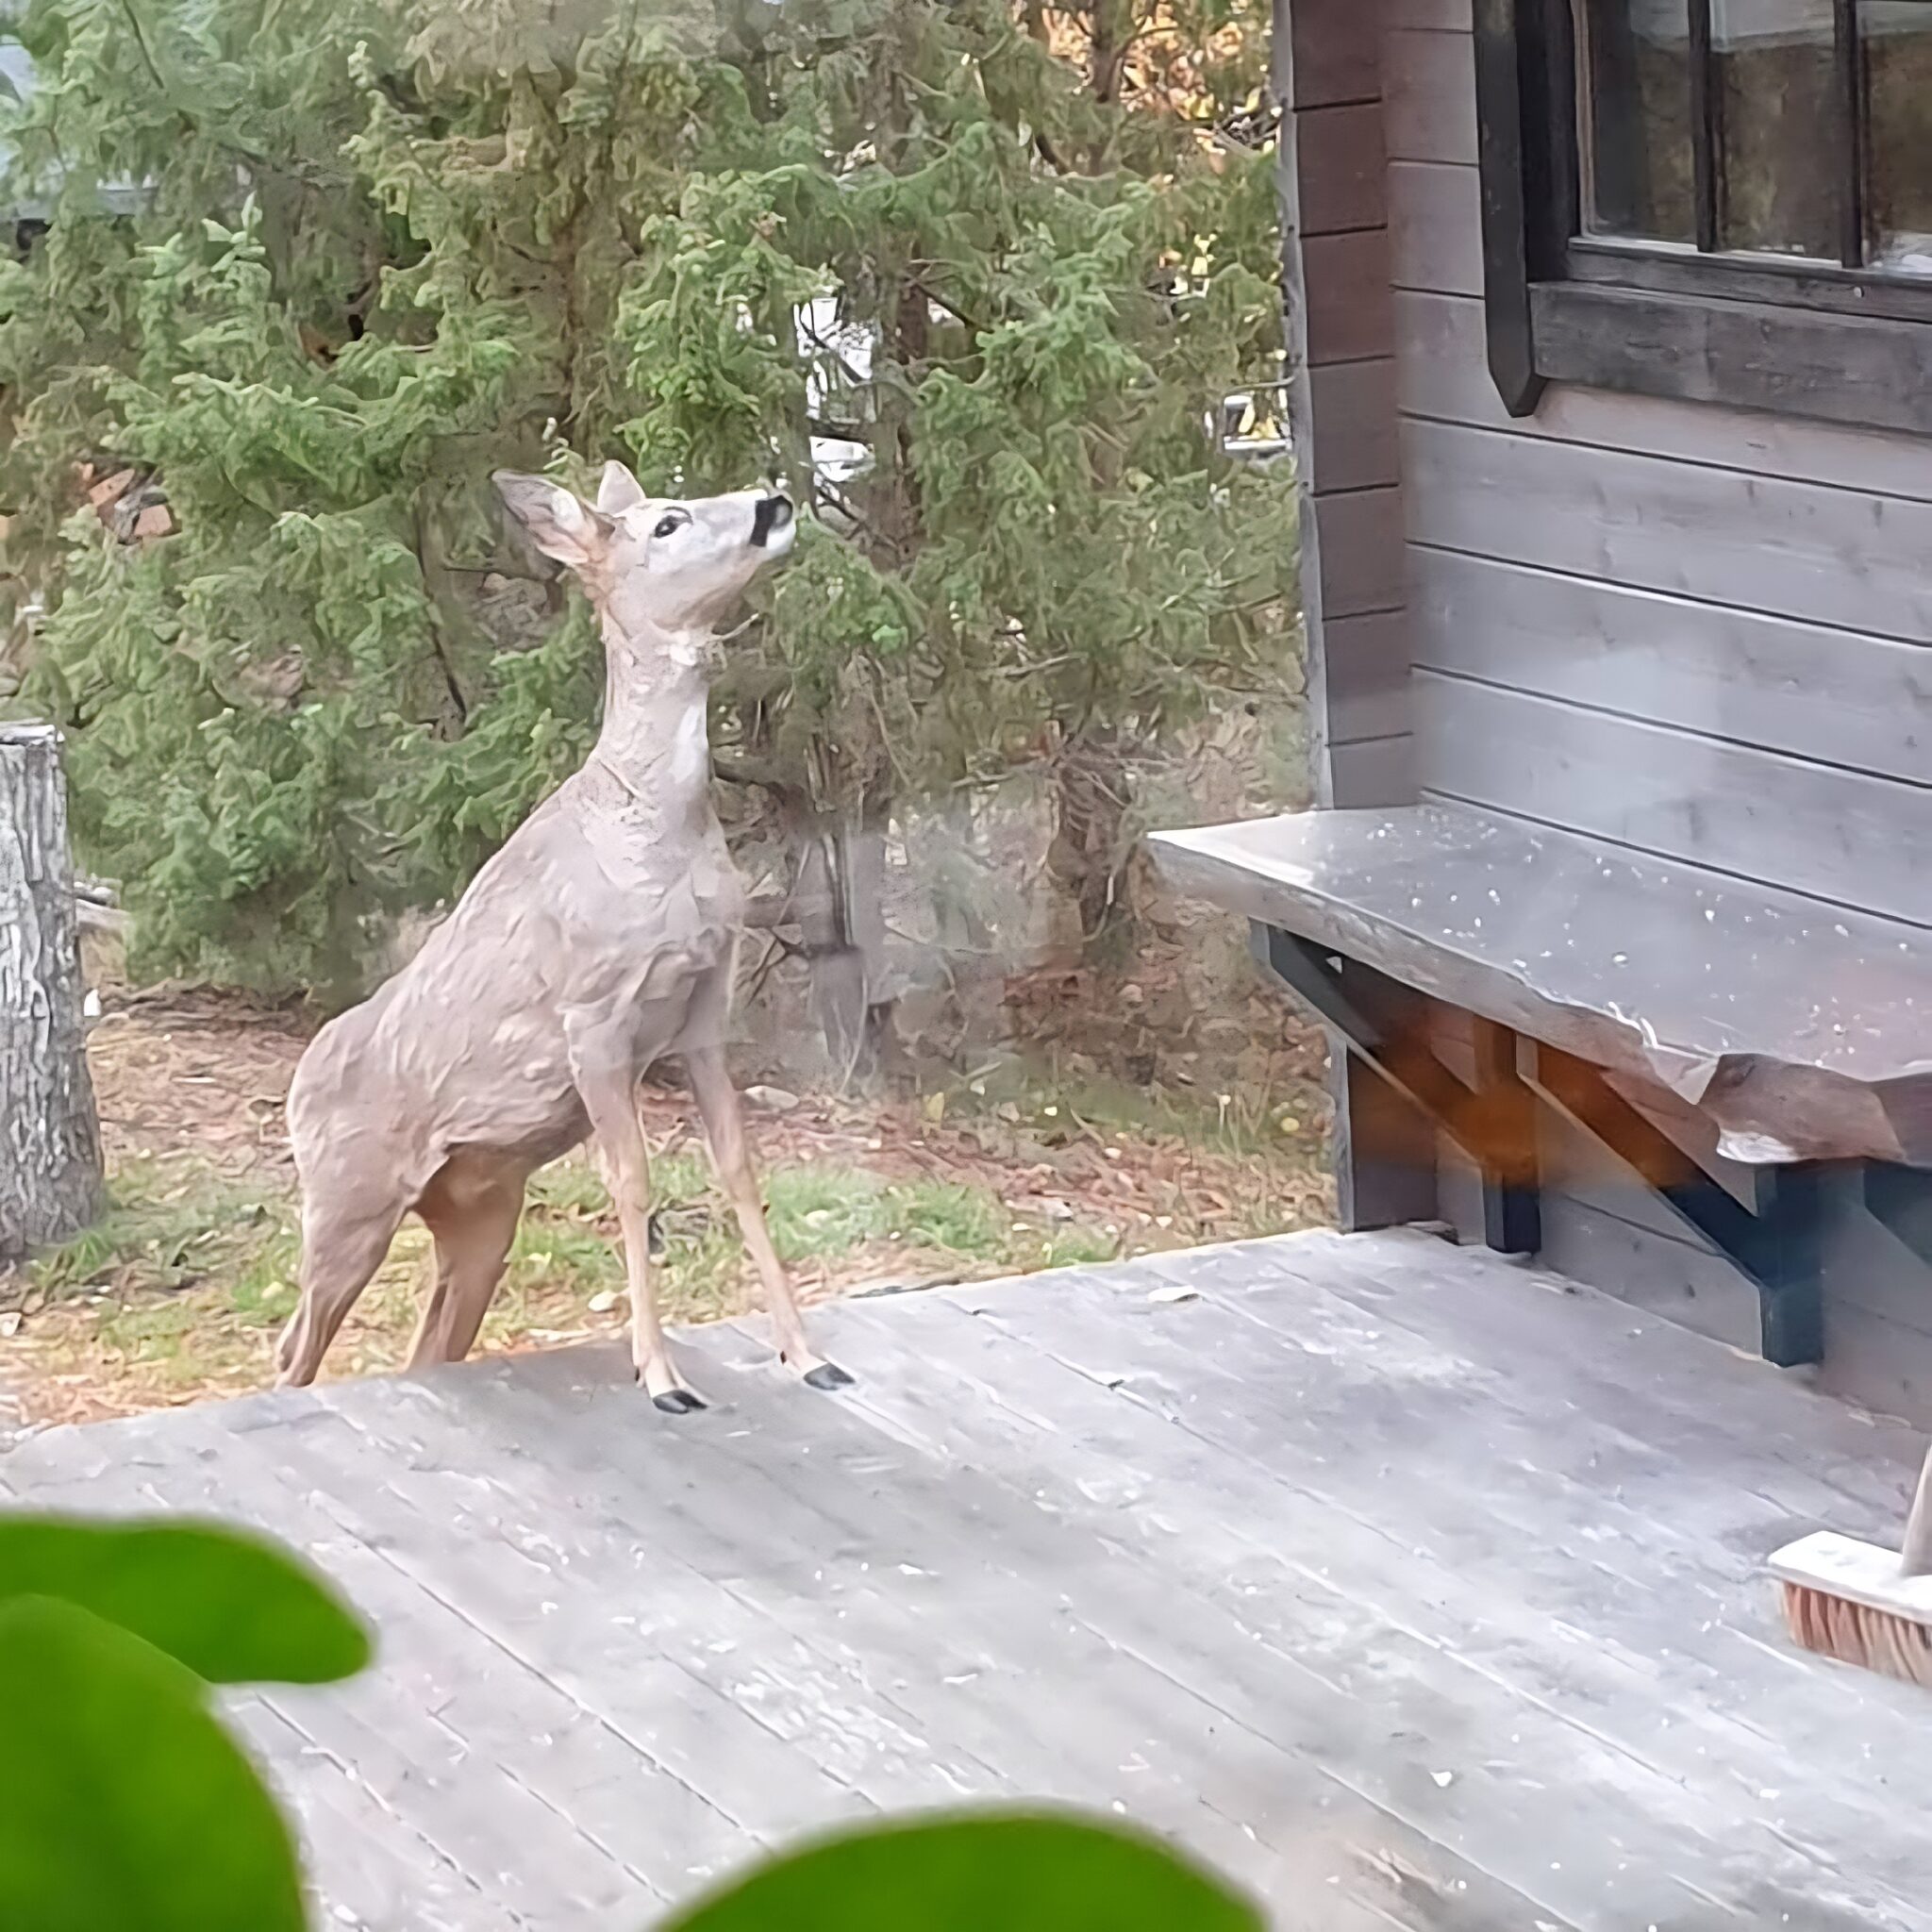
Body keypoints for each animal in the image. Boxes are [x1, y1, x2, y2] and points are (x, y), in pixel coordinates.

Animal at [275, 459, 850, 1414]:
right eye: (667, 522)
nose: (771, 501)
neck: (656, 834)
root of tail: (297, 1084)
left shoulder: (705, 1007)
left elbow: (740, 1170)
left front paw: (808, 1355)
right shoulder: (593, 1016)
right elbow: (633, 1185)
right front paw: (661, 1376)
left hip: (480, 1217)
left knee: (426, 1345)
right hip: (345, 1203)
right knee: (293, 1348)